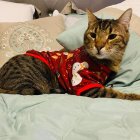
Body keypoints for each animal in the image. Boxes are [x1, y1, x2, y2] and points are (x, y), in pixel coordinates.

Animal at [0, 8, 139, 100]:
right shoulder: (88, 87)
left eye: (112, 36)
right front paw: (135, 96)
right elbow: (115, 93)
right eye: (93, 35)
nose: (99, 46)